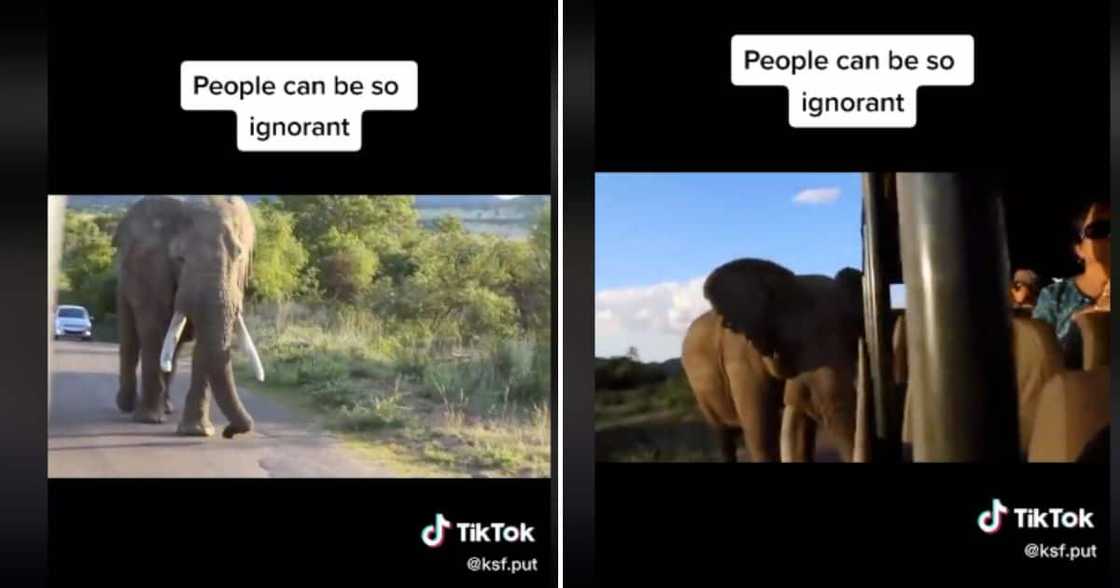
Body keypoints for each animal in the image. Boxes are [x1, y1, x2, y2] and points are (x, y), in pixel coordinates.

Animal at [112, 196, 265, 434]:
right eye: (180, 259)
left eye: (238, 256)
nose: (230, 431)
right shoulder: (150, 271)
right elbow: (153, 332)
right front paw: (149, 420)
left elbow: (202, 344)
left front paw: (196, 432)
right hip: (124, 280)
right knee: (130, 341)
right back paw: (128, 406)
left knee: (174, 351)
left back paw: (166, 407)